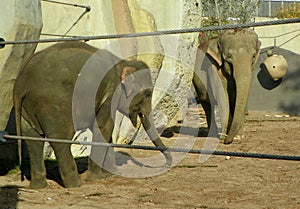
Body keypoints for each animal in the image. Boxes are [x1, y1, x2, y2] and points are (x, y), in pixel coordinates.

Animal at [13, 41, 171, 189]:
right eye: (148, 93)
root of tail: (21, 82)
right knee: (60, 140)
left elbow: (105, 130)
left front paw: (110, 173)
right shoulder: (110, 92)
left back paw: (38, 186)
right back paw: (75, 184)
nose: (167, 165)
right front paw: (98, 178)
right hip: (53, 105)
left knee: (33, 140)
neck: (122, 62)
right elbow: (104, 127)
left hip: (26, 108)